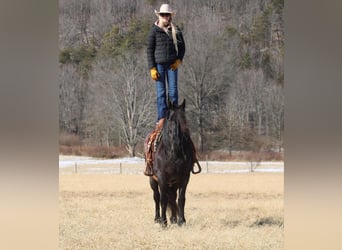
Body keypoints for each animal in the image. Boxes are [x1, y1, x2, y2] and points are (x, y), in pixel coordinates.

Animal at [149, 99, 200, 227]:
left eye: (184, 116)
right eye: (172, 118)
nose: (186, 134)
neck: (173, 153)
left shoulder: (184, 178)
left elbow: (181, 199)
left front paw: (182, 221)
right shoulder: (162, 178)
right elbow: (163, 200)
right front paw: (163, 222)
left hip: (173, 183)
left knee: (172, 197)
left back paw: (173, 218)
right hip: (153, 180)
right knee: (157, 197)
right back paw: (158, 218)